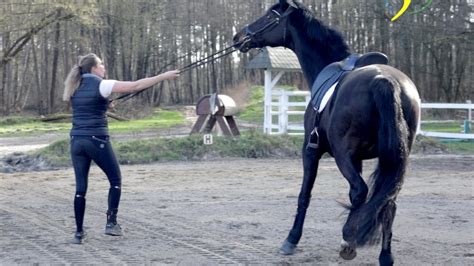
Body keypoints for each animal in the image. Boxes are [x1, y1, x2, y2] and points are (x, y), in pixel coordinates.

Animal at [232, 0, 418, 264]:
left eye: (270, 15)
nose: (239, 37)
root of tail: (385, 80)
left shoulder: (311, 152)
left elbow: (304, 195)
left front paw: (291, 239)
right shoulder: (358, 159)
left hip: (341, 155)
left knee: (361, 191)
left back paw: (348, 240)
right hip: (392, 158)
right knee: (388, 201)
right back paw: (384, 255)